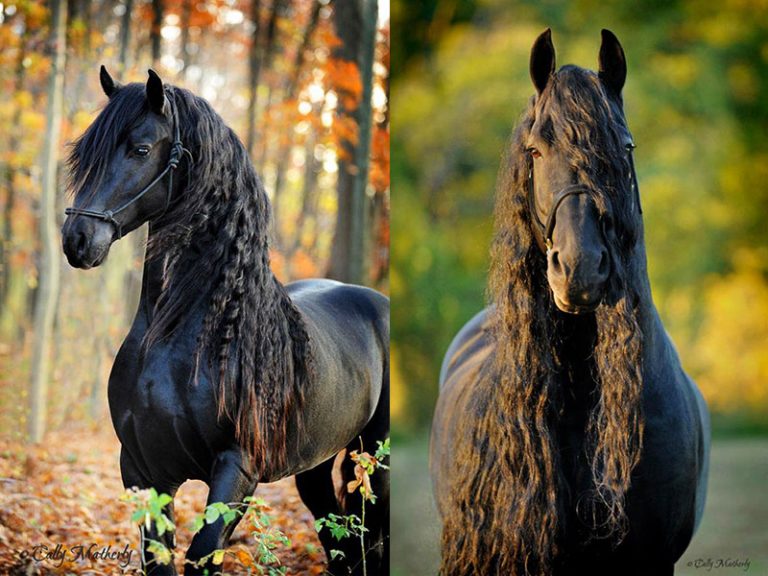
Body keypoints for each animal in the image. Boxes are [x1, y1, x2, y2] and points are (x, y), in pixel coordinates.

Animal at [61, 67, 389, 576]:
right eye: (85, 153)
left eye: (140, 148)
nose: (77, 239)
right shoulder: (141, 470)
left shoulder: (236, 470)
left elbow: (202, 554)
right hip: (315, 465)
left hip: (373, 456)